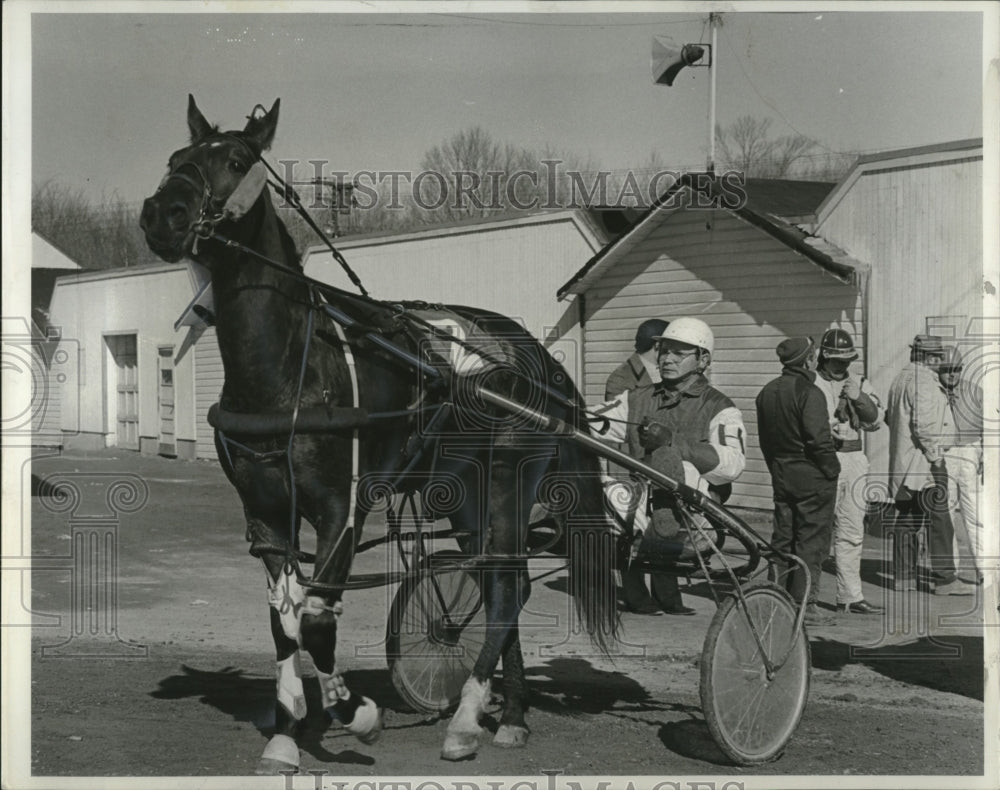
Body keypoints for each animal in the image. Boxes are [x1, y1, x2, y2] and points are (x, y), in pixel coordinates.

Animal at [141, 97, 616, 772]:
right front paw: (287, 731)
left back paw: (468, 719)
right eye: (176, 158)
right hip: (465, 494)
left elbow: (317, 620)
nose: (163, 213)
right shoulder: (264, 513)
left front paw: (355, 712)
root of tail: (538, 359)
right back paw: (512, 715)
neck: (291, 366)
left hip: (508, 483)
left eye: (234, 160)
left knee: (506, 589)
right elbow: (283, 622)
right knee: (504, 585)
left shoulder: (341, 507)